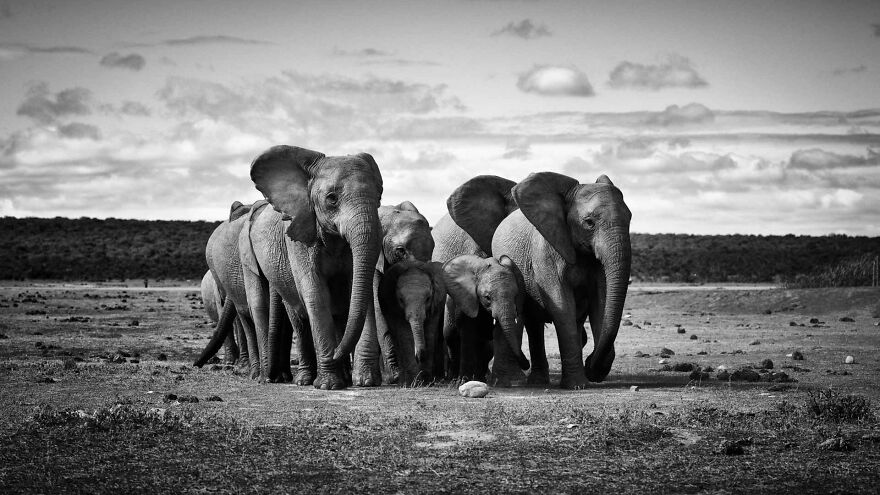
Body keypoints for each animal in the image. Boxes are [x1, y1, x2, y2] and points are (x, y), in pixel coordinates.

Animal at [488, 172, 633, 388]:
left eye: (630, 218)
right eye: (589, 222)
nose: (591, 362)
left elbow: (601, 302)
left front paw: (592, 372)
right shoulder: (545, 250)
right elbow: (562, 306)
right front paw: (577, 385)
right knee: (533, 322)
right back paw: (538, 383)